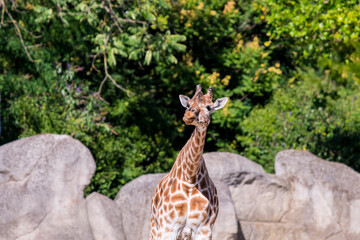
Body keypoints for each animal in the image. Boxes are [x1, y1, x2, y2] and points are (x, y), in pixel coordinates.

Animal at [149, 85, 228, 240]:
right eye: (189, 103)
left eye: (209, 107)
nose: (188, 115)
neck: (190, 177)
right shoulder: (168, 227)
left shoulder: (204, 230)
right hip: (155, 229)